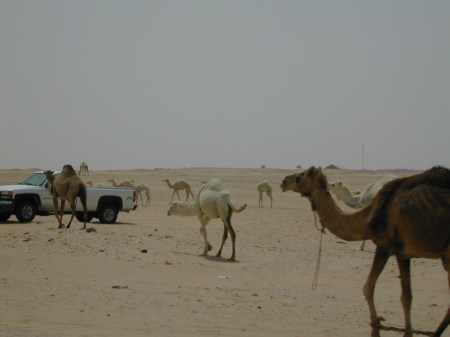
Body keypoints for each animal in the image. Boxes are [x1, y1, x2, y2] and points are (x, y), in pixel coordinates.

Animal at [282, 166, 450, 336]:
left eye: (301, 176)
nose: (283, 181)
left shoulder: (384, 246)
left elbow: (368, 288)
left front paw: (375, 327)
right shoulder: (403, 253)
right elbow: (406, 296)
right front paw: (405, 331)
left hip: (447, 257)